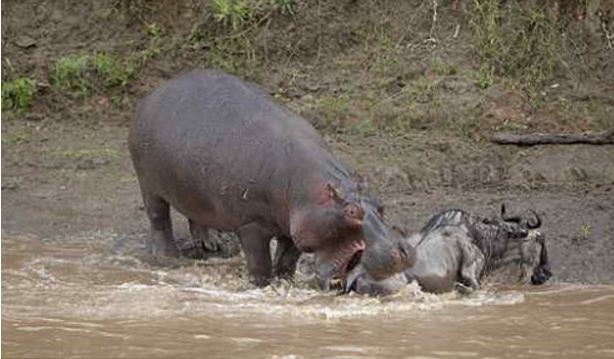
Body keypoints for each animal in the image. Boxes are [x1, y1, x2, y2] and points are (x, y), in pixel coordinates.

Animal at [129, 70, 414, 288]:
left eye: (381, 205)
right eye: (352, 211)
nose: (402, 250)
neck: (310, 189)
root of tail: (153, 93)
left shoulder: (297, 226)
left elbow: (287, 260)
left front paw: (286, 281)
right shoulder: (251, 225)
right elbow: (260, 263)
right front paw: (261, 285)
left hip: (191, 188)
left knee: (194, 214)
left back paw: (211, 244)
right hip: (148, 183)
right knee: (159, 218)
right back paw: (168, 256)